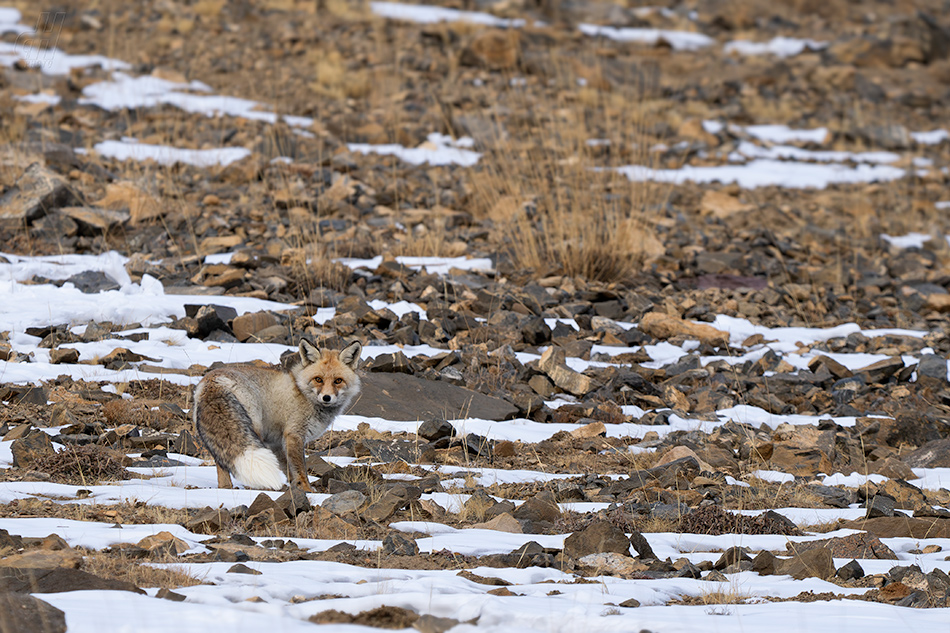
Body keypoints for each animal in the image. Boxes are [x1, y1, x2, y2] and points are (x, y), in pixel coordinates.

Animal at [192, 338, 360, 492]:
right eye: (318, 379)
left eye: (338, 381)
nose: (326, 397)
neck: (302, 391)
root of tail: (213, 380)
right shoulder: (293, 434)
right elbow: (300, 469)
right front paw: (306, 489)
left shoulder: (275, 442)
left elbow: (287, 468)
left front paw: (295, 487)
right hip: (253, 429)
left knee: (221, 461)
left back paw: (226, 488)